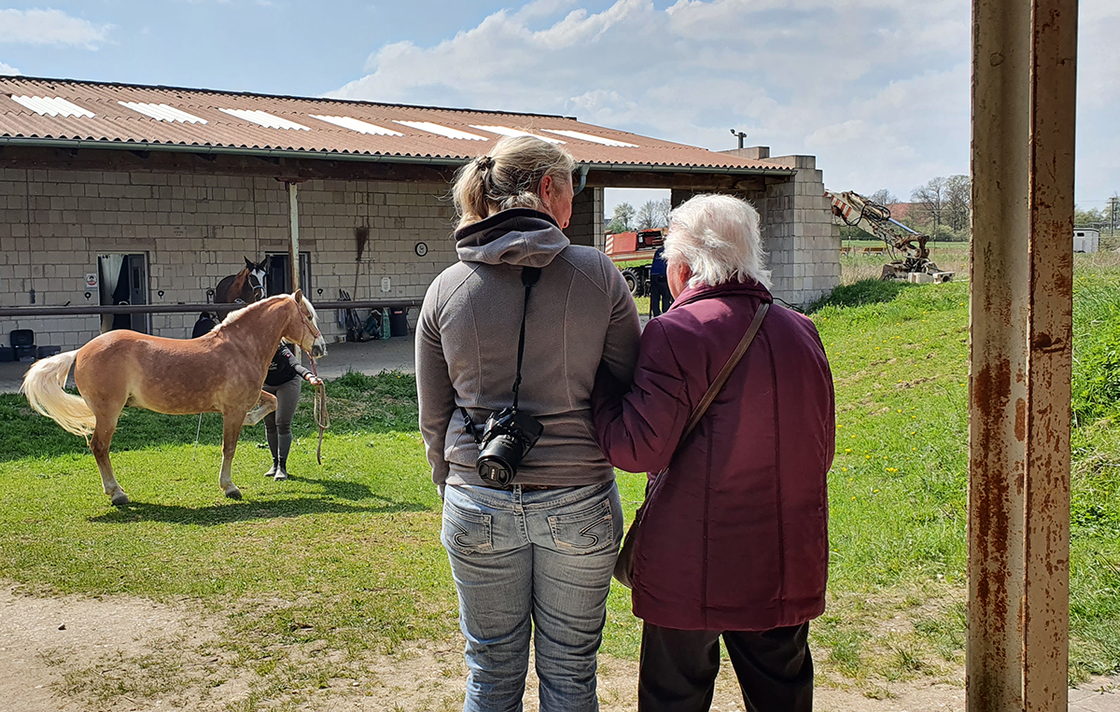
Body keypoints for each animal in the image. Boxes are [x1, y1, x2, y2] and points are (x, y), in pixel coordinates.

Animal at [21, 291, 328, 506]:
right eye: (308, 316)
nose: (321, 347)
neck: (239, 347)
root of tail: (81, 350)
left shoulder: (245, 401)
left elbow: (271, 402)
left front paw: (253, 421)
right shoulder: (233, 410)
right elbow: (229, 448)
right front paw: (230, 488)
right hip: (109, 413)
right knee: (99, 448)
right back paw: (117, 494)